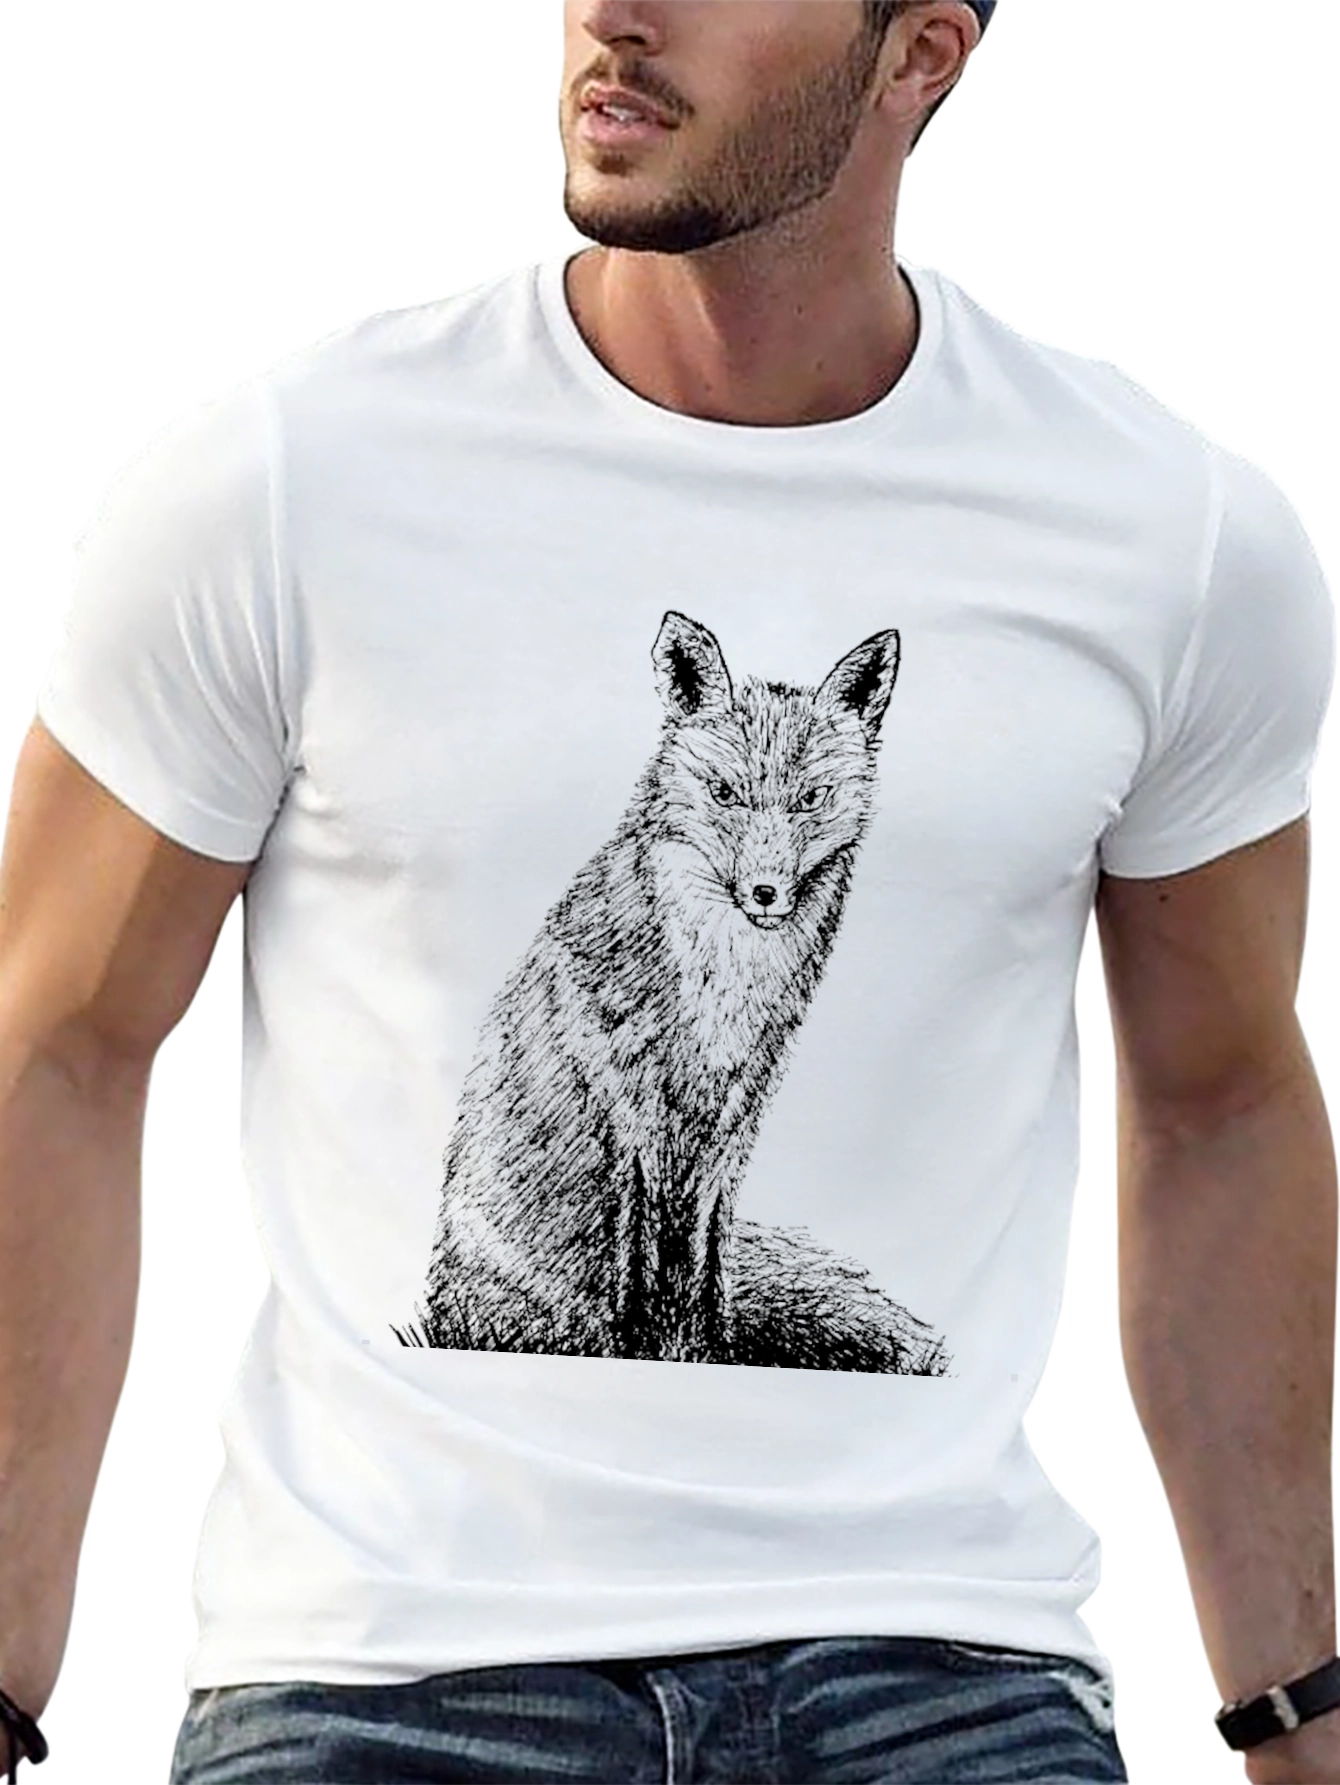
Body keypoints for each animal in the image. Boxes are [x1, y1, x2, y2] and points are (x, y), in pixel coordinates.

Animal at [394, 611, 950, 1375]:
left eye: (811, 799)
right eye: (724, 793)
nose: (766, 892)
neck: (720, 1000)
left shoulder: (734, 1117)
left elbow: (702, 1256)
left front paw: (704, 1352)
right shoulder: (631, 1116)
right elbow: (638, 1258)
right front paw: (641, 1353)